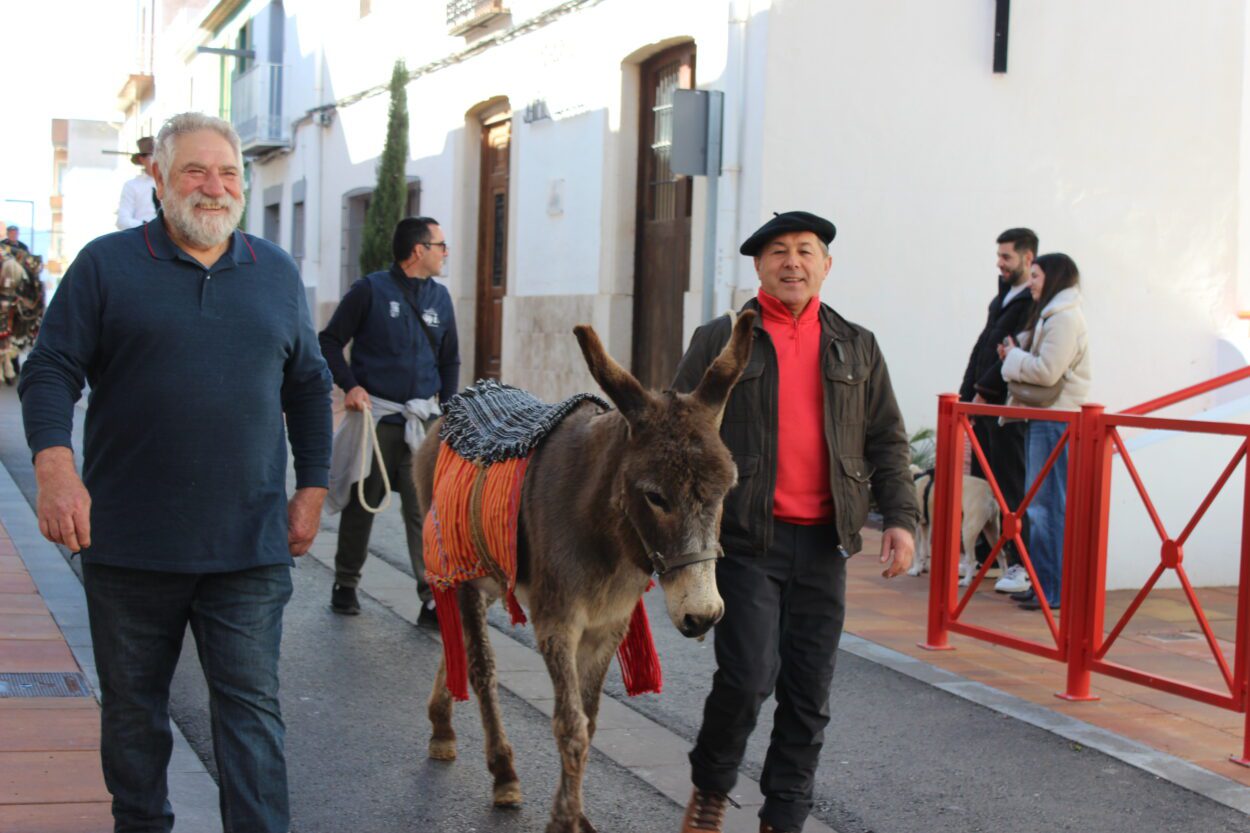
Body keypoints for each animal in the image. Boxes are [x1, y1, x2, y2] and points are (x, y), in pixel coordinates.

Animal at [413, 311, 756, 833]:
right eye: (655, 496)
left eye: (726, 490)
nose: (703, 615)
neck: (605, 530)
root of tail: (451, 408)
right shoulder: (558, 622)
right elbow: (570, 725)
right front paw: (565, 819)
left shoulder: (607, 625)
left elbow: (591, 722)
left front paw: (574, 816)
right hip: (464, 571)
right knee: (481, 668)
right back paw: (503, 772)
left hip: (495, 578)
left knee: (461, 647)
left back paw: (441, 726)